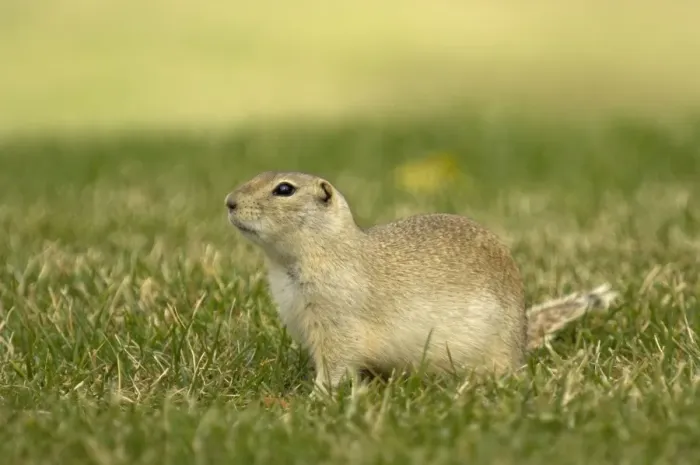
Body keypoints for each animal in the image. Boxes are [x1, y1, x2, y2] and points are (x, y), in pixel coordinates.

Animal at [224, 171, 617, 393]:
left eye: (284, 189)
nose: (229, 201)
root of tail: (521, 340)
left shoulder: (337, 320)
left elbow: (336, 364)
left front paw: (316, 396)